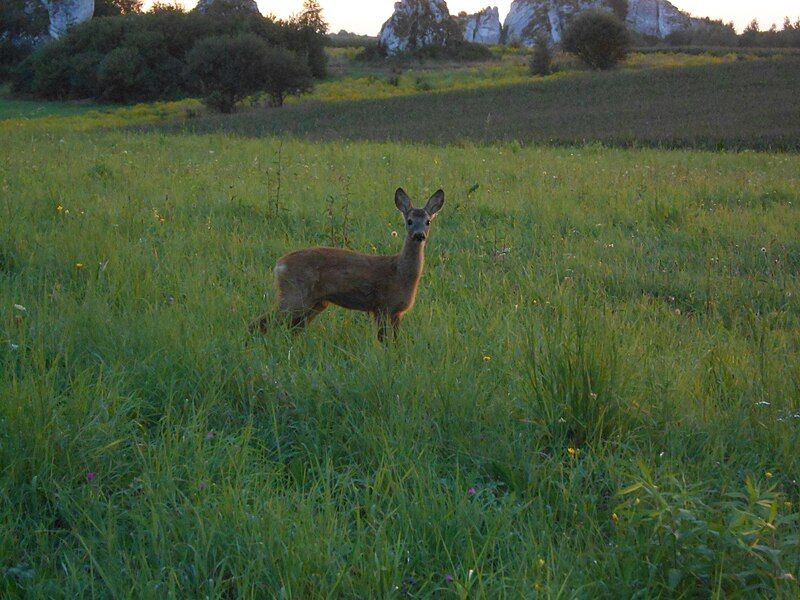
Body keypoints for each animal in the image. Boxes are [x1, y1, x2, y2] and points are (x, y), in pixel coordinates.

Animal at [252, 188, 444, 340]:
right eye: (409, 221)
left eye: (428, 221)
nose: (419, 235)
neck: (400, 272)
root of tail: (279, 265)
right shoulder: (381, 306)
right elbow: (382, 340)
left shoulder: (397, 312)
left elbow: (395, 341)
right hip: (294, 295)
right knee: (260, 322)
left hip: (315, 303)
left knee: (291, 329)